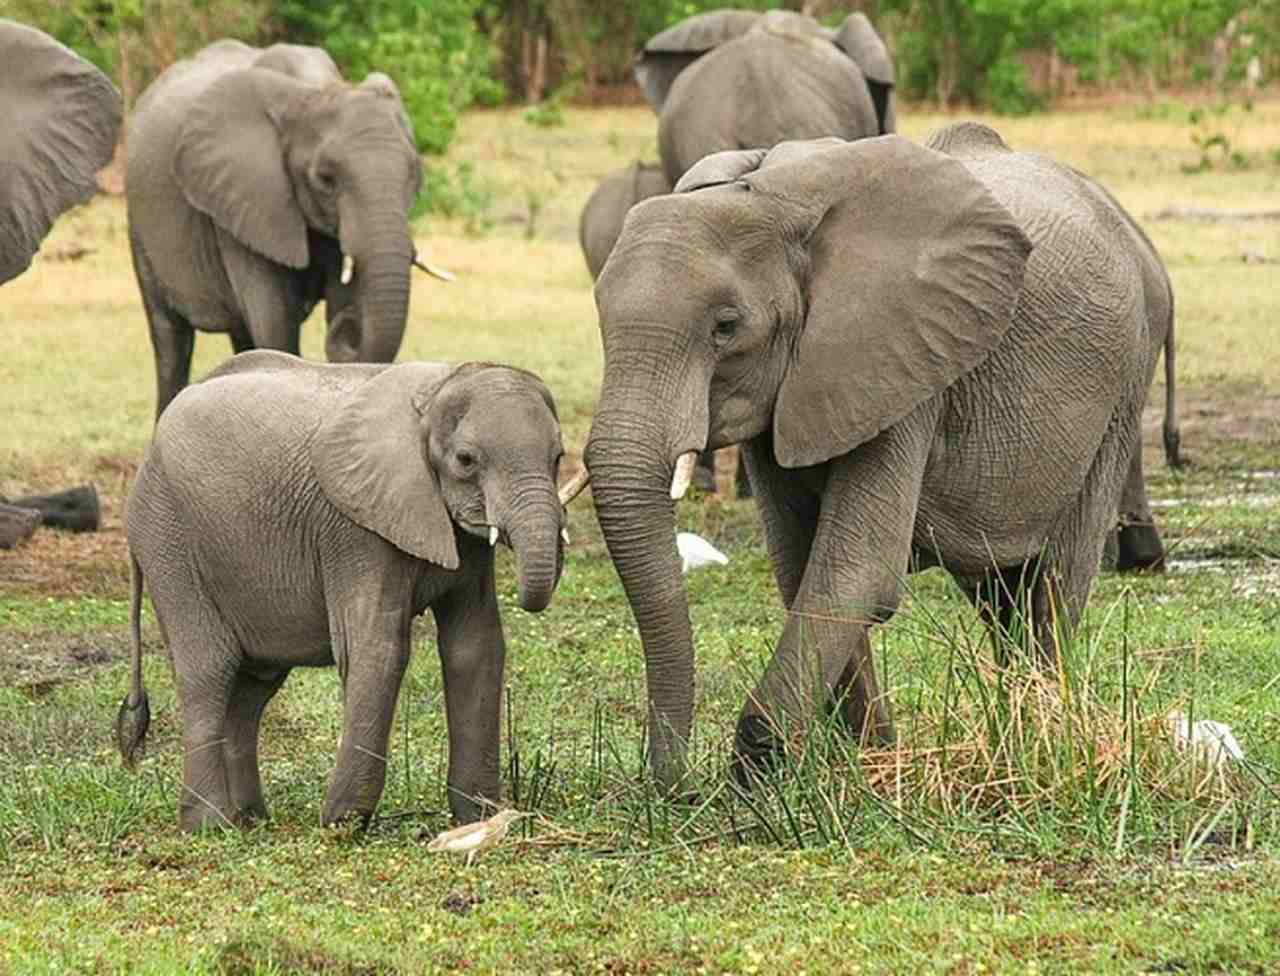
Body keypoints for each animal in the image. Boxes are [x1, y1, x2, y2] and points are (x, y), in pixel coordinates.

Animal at [117, 350, 583, 829]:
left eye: (558, 456)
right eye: (466, 460)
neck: (435, 391)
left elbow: (476, 646)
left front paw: (479, 818)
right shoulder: (354, 529)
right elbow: (377, 648)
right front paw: (341, 825)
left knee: (252, 687)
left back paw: (251, 821)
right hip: (168, 539)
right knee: (210, 670)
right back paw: (210, 825)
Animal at [128, 40, 430, 417]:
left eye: (414, 175)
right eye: (325, 179)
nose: (347, 327)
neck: (314, 89)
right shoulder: (246, 199)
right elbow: (274, 322)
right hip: (140, 228)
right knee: (171, 341)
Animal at [586, 123, 1172, 788]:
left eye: (726, 326)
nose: (676, 787)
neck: (774, 200)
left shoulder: (907, 358)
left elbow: (856, 568)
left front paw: (759, 776)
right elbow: (800, 564)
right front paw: (866, 761)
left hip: (1125, 381)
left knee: (1055, 578)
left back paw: (1039, 739)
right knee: (1001, 591)